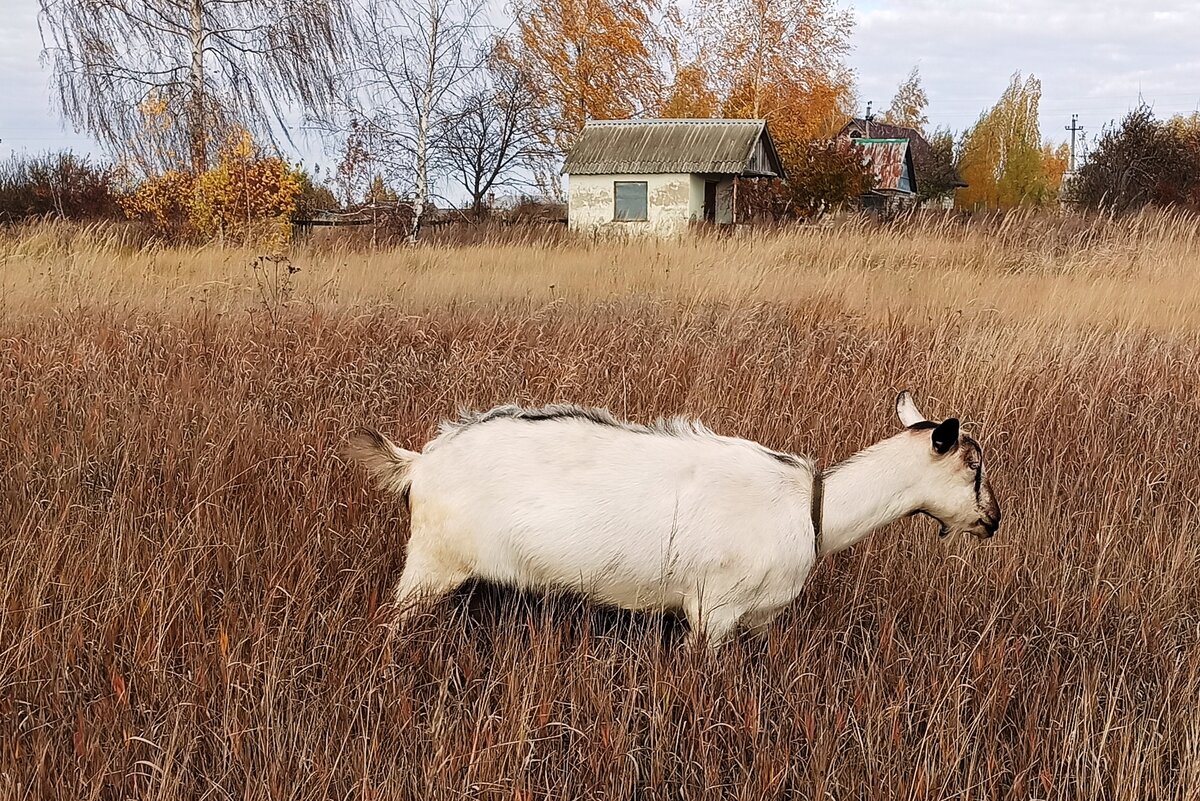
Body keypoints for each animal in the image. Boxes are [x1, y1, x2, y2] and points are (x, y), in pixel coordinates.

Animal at [345, 390, 1003, 647]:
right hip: (431, 563)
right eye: (973, 467)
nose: (993, 520)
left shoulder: (756, 620)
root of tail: (418, 463)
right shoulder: (714, 610)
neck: (814, 510)